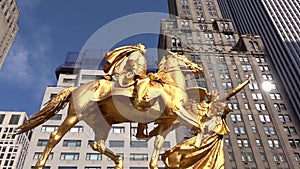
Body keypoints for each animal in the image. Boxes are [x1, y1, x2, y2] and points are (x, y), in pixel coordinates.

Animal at [17, 52, 204, 168]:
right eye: (181, 56)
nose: (198, 68)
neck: (171, 82)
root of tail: (75, 88)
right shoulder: (176, 111)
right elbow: (199, 126)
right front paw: (193, 146)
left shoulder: (167, 123)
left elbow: (158, 145)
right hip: (74, 115)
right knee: (54, 136)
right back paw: (39, 164)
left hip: (102, 123)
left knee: (98, 145)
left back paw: (119, 162)